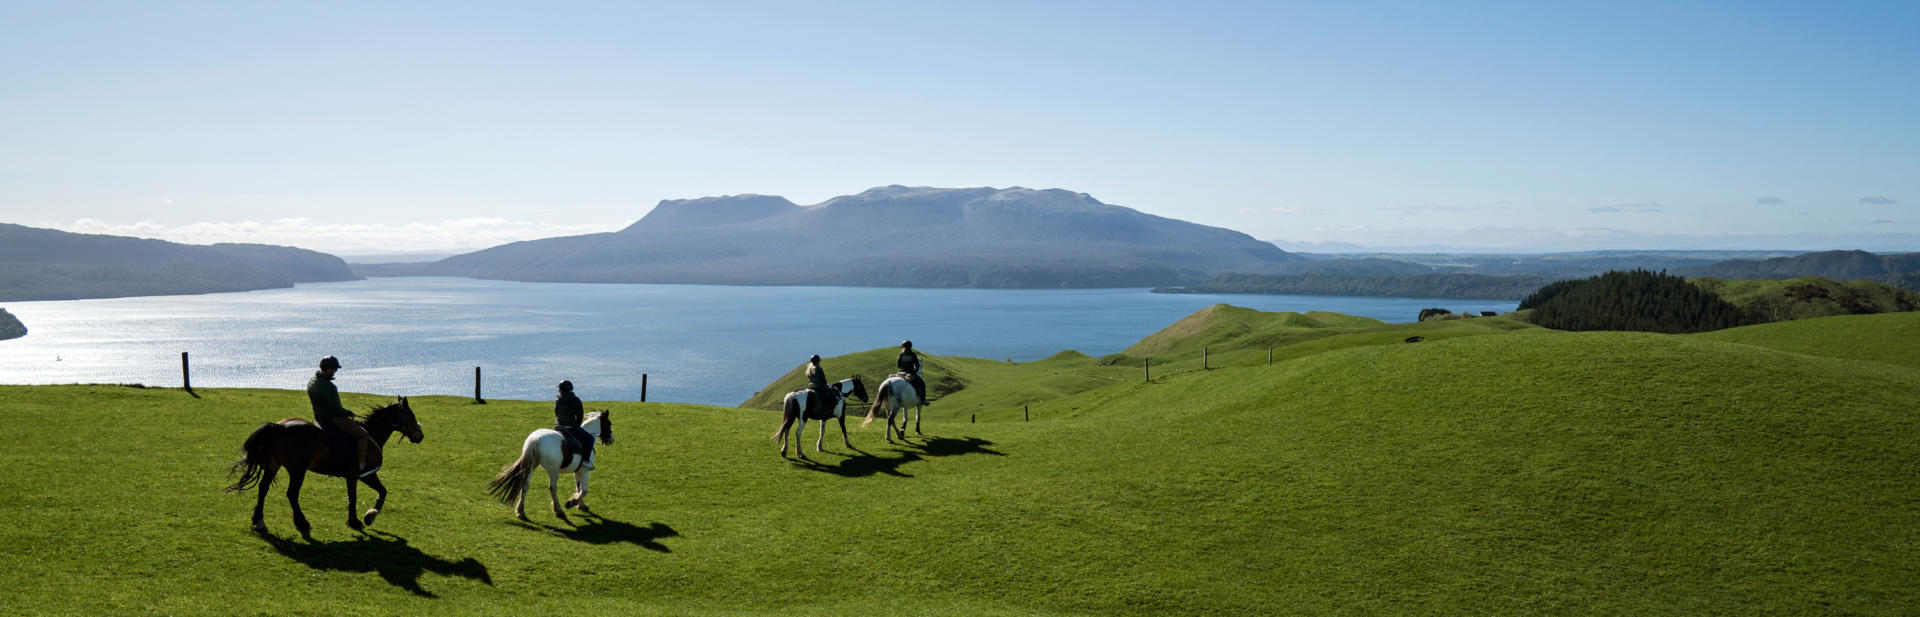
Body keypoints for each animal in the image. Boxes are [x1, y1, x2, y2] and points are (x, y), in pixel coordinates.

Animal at [227, 395, 424, 534]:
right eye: (410, 415)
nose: (420, 435)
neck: (370, 434)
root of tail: (277, 427)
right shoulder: (366, 474)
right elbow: (381, 492)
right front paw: (368, 517)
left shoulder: (351, 477)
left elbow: (353, 497)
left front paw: (354, 520)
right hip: (298, 470)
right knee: (292, 494)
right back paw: (302, 522)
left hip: (273, 466)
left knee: (263, 489)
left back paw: (258, 521)